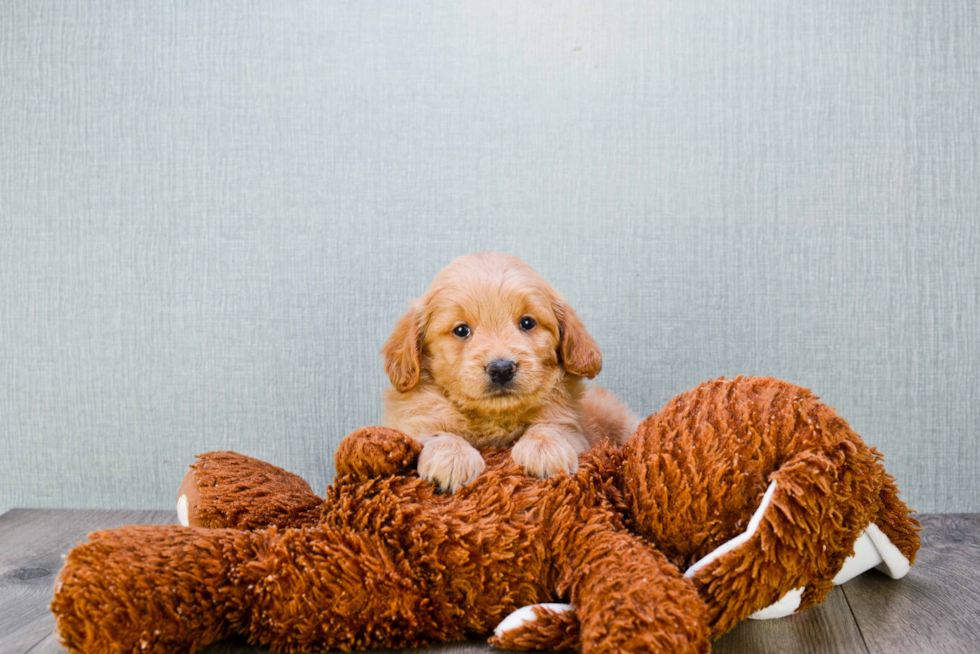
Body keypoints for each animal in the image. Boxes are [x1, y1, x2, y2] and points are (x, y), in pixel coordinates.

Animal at [378, 252, 640, 492]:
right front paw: (452, 457)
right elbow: (433, 431)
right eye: (461, 330)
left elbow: (552, 427)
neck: (495, 418)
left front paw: (544, 450)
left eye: (527, 323)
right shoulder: (410, 423)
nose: (502, 369)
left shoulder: (573, 427)